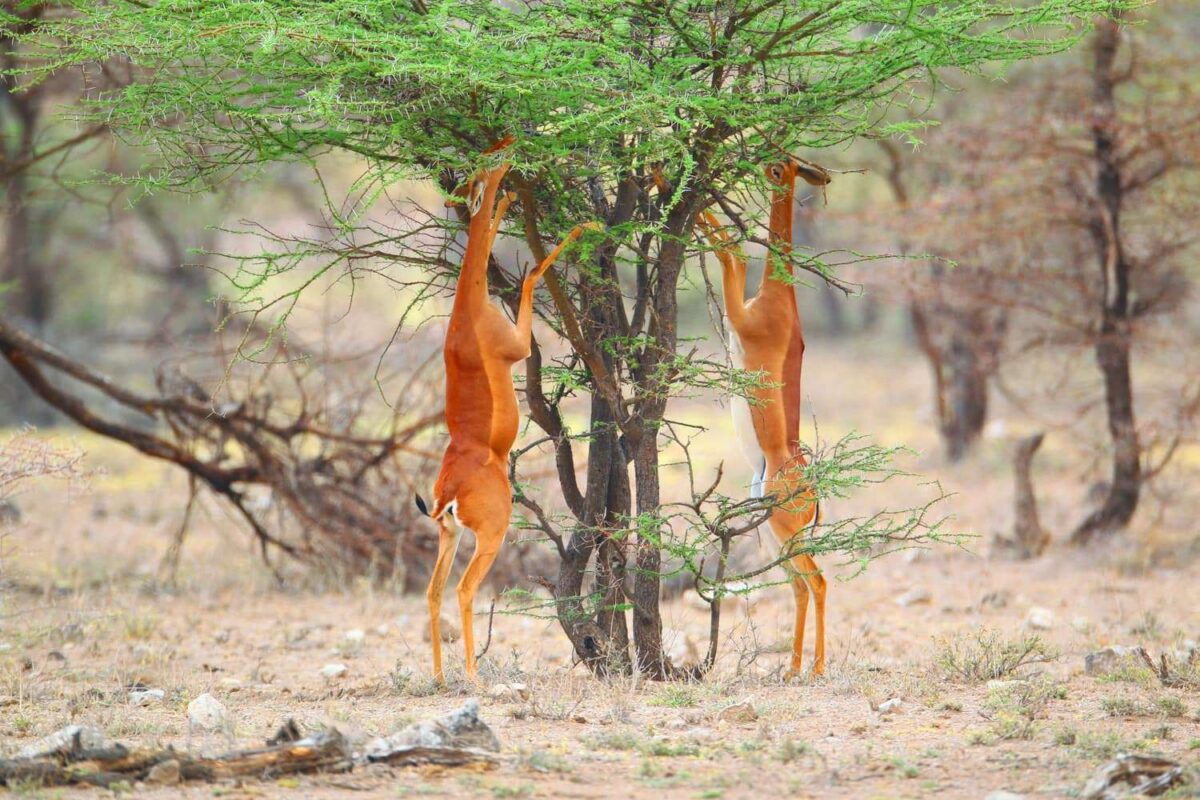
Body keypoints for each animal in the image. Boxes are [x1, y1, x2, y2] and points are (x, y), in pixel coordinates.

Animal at [416, 140, 595, 683]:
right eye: (488, 167)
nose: (507, 146)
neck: (468, 311)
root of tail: (448, 494)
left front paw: (509, 203)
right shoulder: (518, 344)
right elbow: (533, 274)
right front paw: (584, 228)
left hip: (449, 536)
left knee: (432, 593)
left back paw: (439, 676)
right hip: (490, 535)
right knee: (464, 590)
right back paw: (474, 674)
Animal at [695, 159, 831, 678]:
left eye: (780, 165)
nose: (757, 161)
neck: (779, 296)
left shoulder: (738, 315)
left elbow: (731, 251)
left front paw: (659, 176)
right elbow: (732, 250)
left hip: (787, 535)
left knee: (818, 582)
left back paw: (815, 669)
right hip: (775, 538)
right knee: (797, 586)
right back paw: (791, 669)